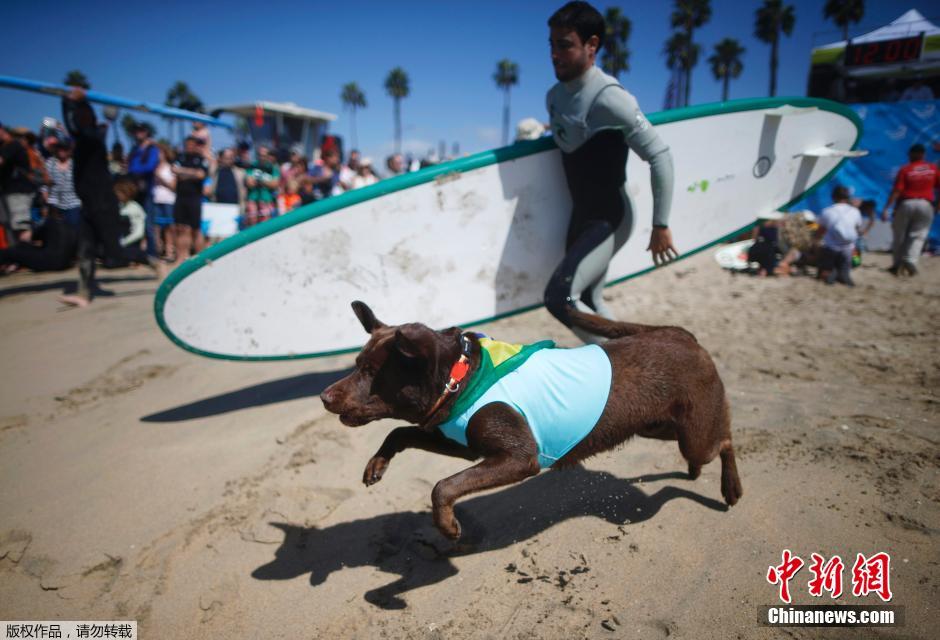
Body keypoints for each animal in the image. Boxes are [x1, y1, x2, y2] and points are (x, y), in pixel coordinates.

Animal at [322, 302, 740, 544]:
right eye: (357, 364)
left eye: (371, 371)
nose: (325, 397)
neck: (461, 377)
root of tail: (681, 334)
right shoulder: (464, 444)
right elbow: (401, 431)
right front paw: (376, 465)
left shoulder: (519, 458)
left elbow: (443, 486)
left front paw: (447, 525)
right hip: (656, 426)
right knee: (703, 446)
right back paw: (694, 473)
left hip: (694, 433)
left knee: (723, 442)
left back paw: (730, 487)